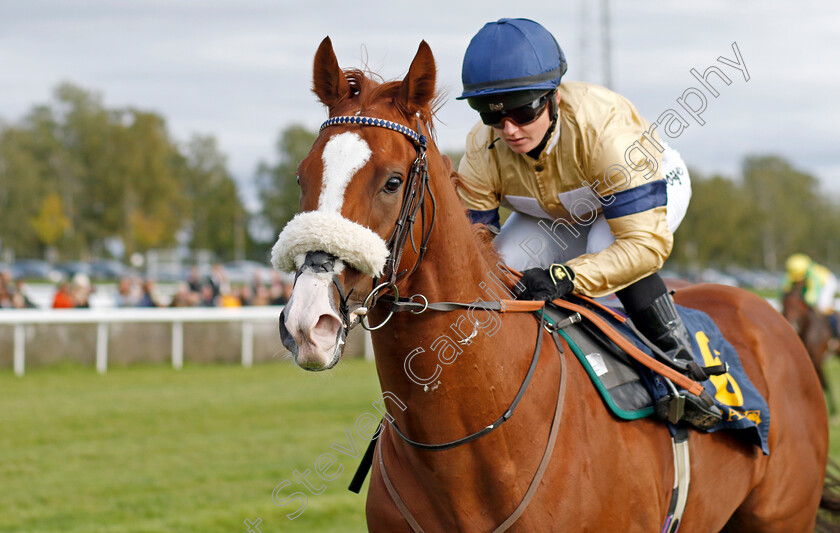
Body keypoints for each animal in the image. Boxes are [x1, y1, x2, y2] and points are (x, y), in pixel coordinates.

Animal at [274, 36, 828, 528]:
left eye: (392, 181)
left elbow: (640, 242)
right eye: (302, 175)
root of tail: (765, 312)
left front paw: (547, 283)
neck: (469, 447)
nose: (308, 323)